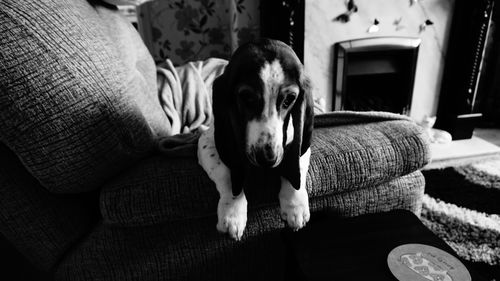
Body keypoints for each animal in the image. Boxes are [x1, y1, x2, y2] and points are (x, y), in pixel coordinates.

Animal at [198, 37, 312, 238]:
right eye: (247, 97)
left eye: (289, 99)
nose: (267, 159)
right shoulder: (206, 142)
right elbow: (226, 171)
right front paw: (232, 210)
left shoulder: (299, 143)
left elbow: (296, 165)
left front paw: (294, 205)